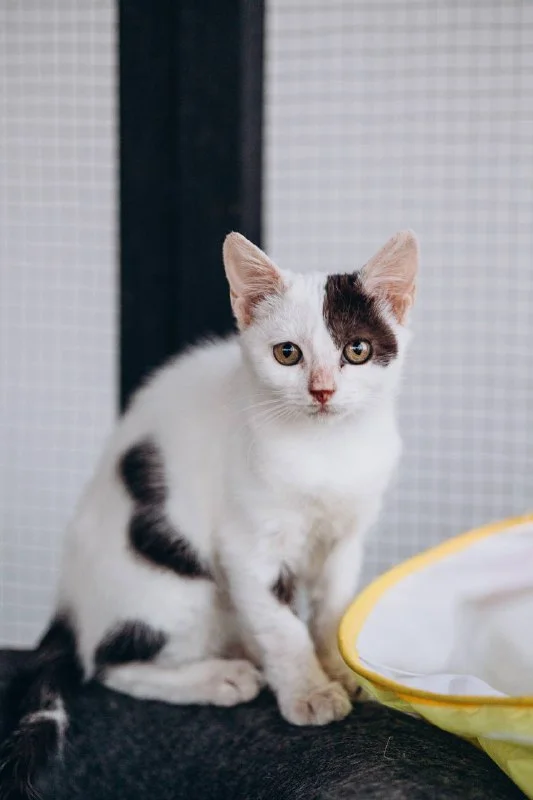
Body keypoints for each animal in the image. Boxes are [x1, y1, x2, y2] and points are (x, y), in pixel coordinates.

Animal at [0, 230, 418, 799]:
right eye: (287, 353)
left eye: (357, 350)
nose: (322, 389)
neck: (325, 450)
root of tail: (69, 605)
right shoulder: (247, 545)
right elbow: (281, 624)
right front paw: (308, 690)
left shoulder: (346, 535)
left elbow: (332, 605)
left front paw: (336, 666)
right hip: (171, 581)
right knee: (108, 663)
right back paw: (221, 676)